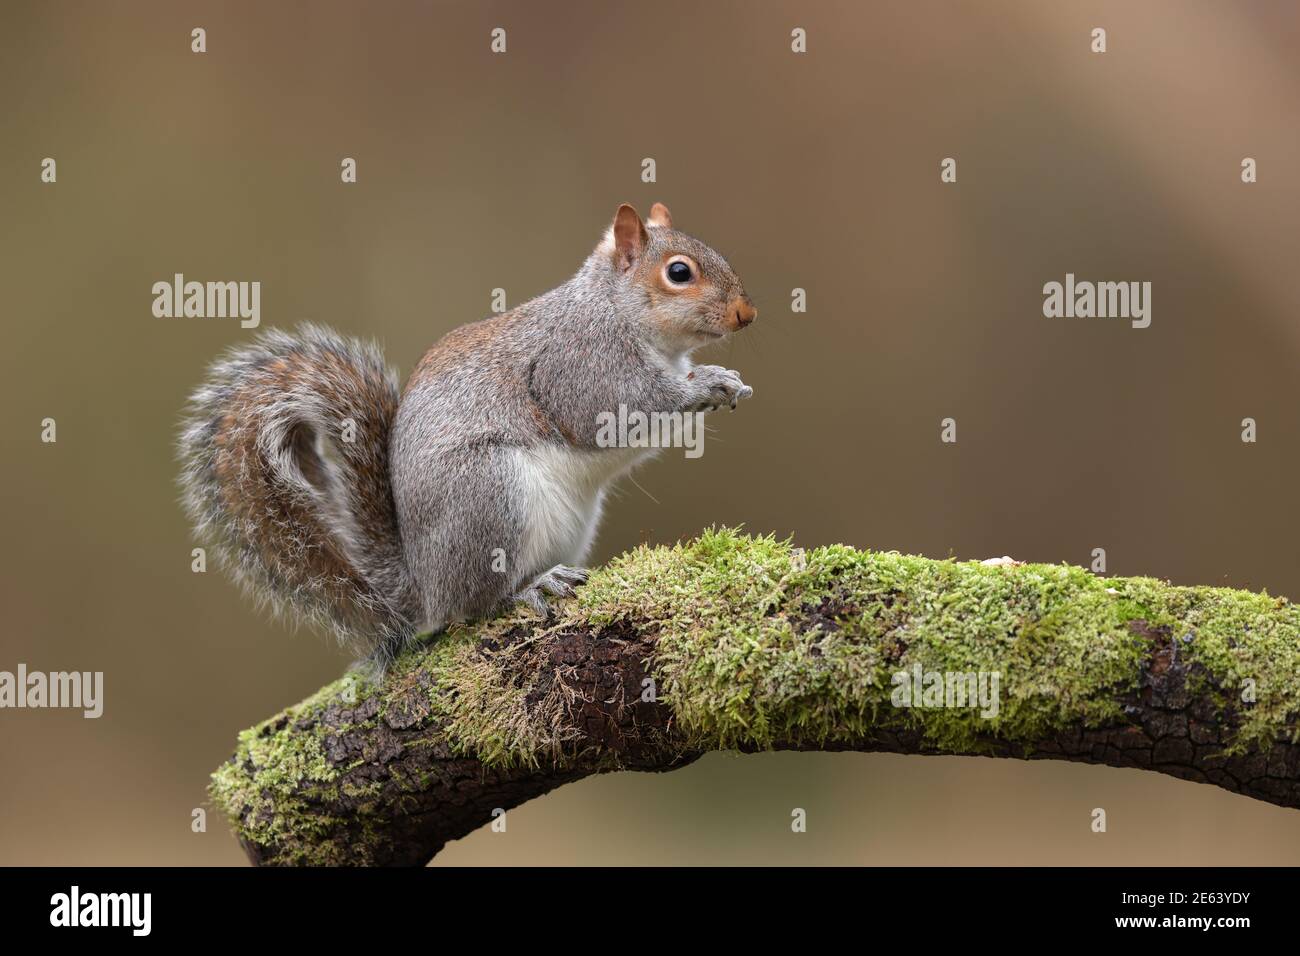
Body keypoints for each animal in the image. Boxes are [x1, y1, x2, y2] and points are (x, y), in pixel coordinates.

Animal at [178, 203, 757, 669]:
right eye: (678, 272)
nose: (746, 314)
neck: (615, 310)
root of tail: (423, 584)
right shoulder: (577, 364)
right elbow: (608, 413)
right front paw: (704, 384)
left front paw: (726, 381)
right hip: (489, 495)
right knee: (475, 605)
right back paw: (529, 588)